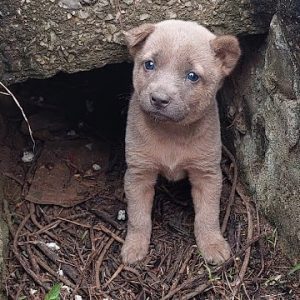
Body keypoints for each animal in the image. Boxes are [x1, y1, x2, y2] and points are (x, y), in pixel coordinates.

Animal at [120, 19, 240, 264]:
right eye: (149, 64)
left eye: (192, 76)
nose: (159, 99)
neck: (171, 132)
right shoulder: (138, 173)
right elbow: (138, 216)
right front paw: (134, 246)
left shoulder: (207, 173)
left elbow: (208, 214)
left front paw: (213, 244)